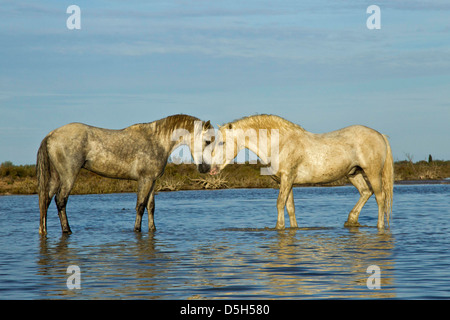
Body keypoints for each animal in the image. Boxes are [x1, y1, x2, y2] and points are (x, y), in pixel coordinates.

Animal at [37, 114, 214, 234]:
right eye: (207, 141)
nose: (206, 168)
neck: (156, 141)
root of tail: (50, 135)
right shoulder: (145, 179)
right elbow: (140, 206)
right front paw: (136, 229)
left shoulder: (152, 181)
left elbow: (151, 207)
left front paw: (152, 229)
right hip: (68, 176)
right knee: (61, 200)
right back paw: (67, 230)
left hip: (56, 177)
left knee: (45, 201)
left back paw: (44, 230)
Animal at [209, 115, 392, 230]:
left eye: (222, 142)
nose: (212, 169)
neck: (279, 143)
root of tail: (380, 135)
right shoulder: (286, 181)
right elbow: (290, 207)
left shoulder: (287, 178)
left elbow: (280, 203)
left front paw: (279, 227)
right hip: (353, 174)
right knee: (366, 192)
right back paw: (351, 221)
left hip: (372, 173)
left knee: (380, 197)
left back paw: (379, 226)